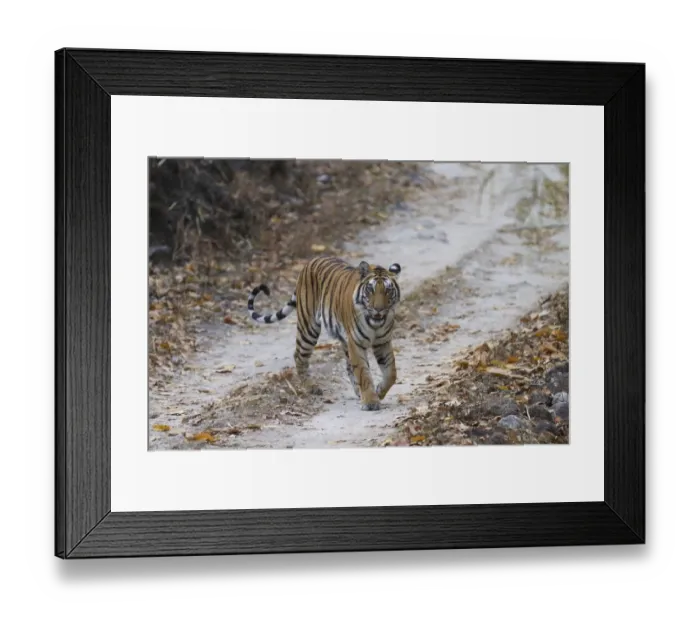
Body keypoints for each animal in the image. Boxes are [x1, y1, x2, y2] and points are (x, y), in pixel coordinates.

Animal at [247, 256, 402, 410]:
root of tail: (310, 261)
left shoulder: (382, 342)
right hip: (308, 328)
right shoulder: (356, 343)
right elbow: (363, 372)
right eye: (370, 289)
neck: (375, 323)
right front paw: (371, 401)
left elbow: (391, 373)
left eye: (388, 290)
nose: (378, 309)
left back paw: (358, 392)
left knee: (348, 366)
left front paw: (379, 391)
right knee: (299, 356)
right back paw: (311, 387)